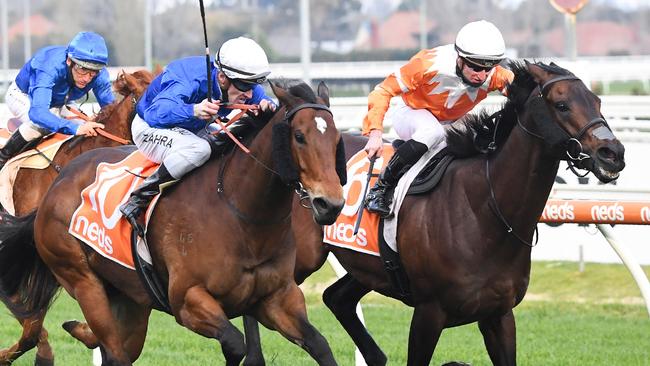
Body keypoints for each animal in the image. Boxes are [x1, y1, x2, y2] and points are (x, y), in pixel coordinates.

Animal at [242, 60, 624, 364]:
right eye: (562, 104)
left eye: (597, 101)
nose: (613, 153)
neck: (485, 213)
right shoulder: (429, 312)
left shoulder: (499, 315)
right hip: (298, 259)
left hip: (371, 267)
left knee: (336, 298)